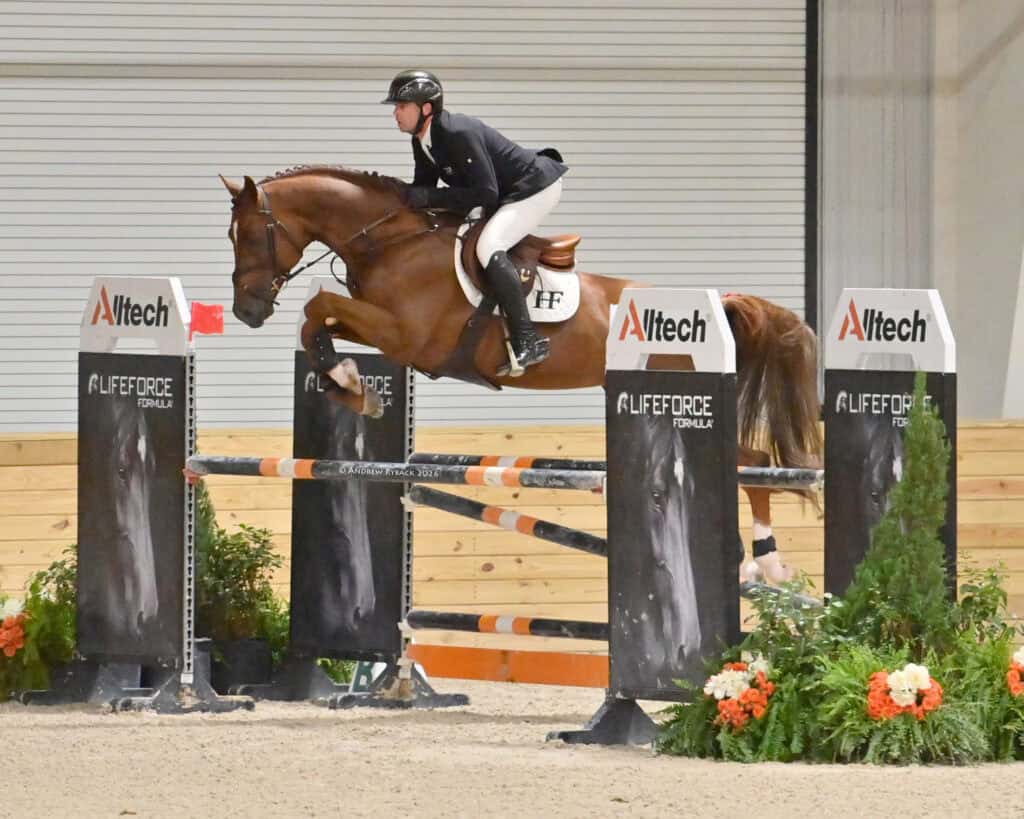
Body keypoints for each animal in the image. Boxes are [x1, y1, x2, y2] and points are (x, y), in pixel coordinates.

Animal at [218, 166, 823, 577]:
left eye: (249, 235)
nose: (246, 311)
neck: (392, 241)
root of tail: (719, 301)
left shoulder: (408, 336)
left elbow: (317, 304)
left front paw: (350, 384)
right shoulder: (382, 329)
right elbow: (315, 321)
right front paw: (347, 383)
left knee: (750, 461)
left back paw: (765, 561)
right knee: (750, 460)